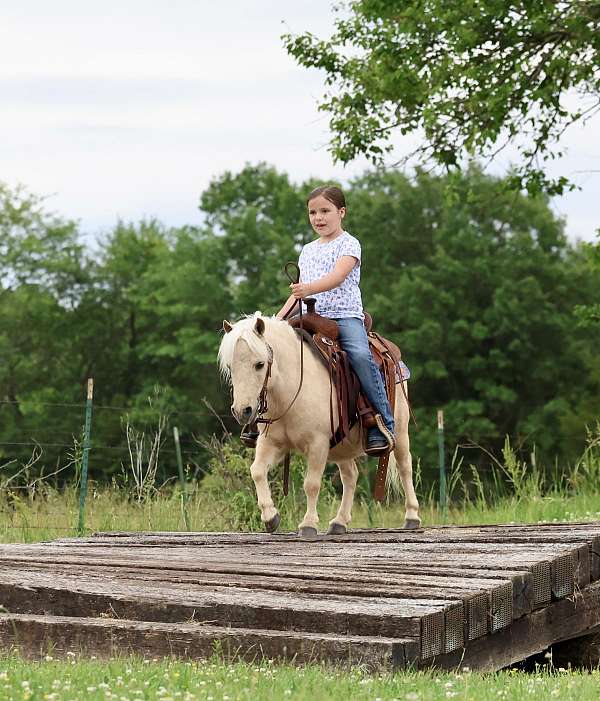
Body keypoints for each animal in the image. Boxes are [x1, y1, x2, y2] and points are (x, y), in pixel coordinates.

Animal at [218, 312, 421, 536]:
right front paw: (270, 517)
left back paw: (412, 516)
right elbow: (257, 471)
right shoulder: (270, 442)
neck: (290, 389)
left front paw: (308, 524)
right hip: (342, 446)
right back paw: (339, 521)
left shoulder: (317, 444)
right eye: (230, 367)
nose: (242, 411)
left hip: (400, 431)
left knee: (404, 466)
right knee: (350, 476)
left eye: (260, 364)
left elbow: (311, 484)